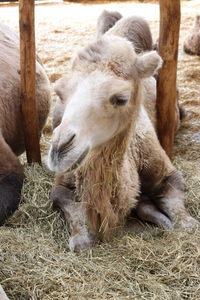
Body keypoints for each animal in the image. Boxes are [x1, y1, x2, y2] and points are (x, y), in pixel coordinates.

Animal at [47, 15, 197, 252]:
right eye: (60, 93)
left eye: (121, 98)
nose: (59, 149)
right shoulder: (63, 184)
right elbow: (80, 238)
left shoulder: (168, 173)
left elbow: (186, 222)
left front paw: (168, 220)